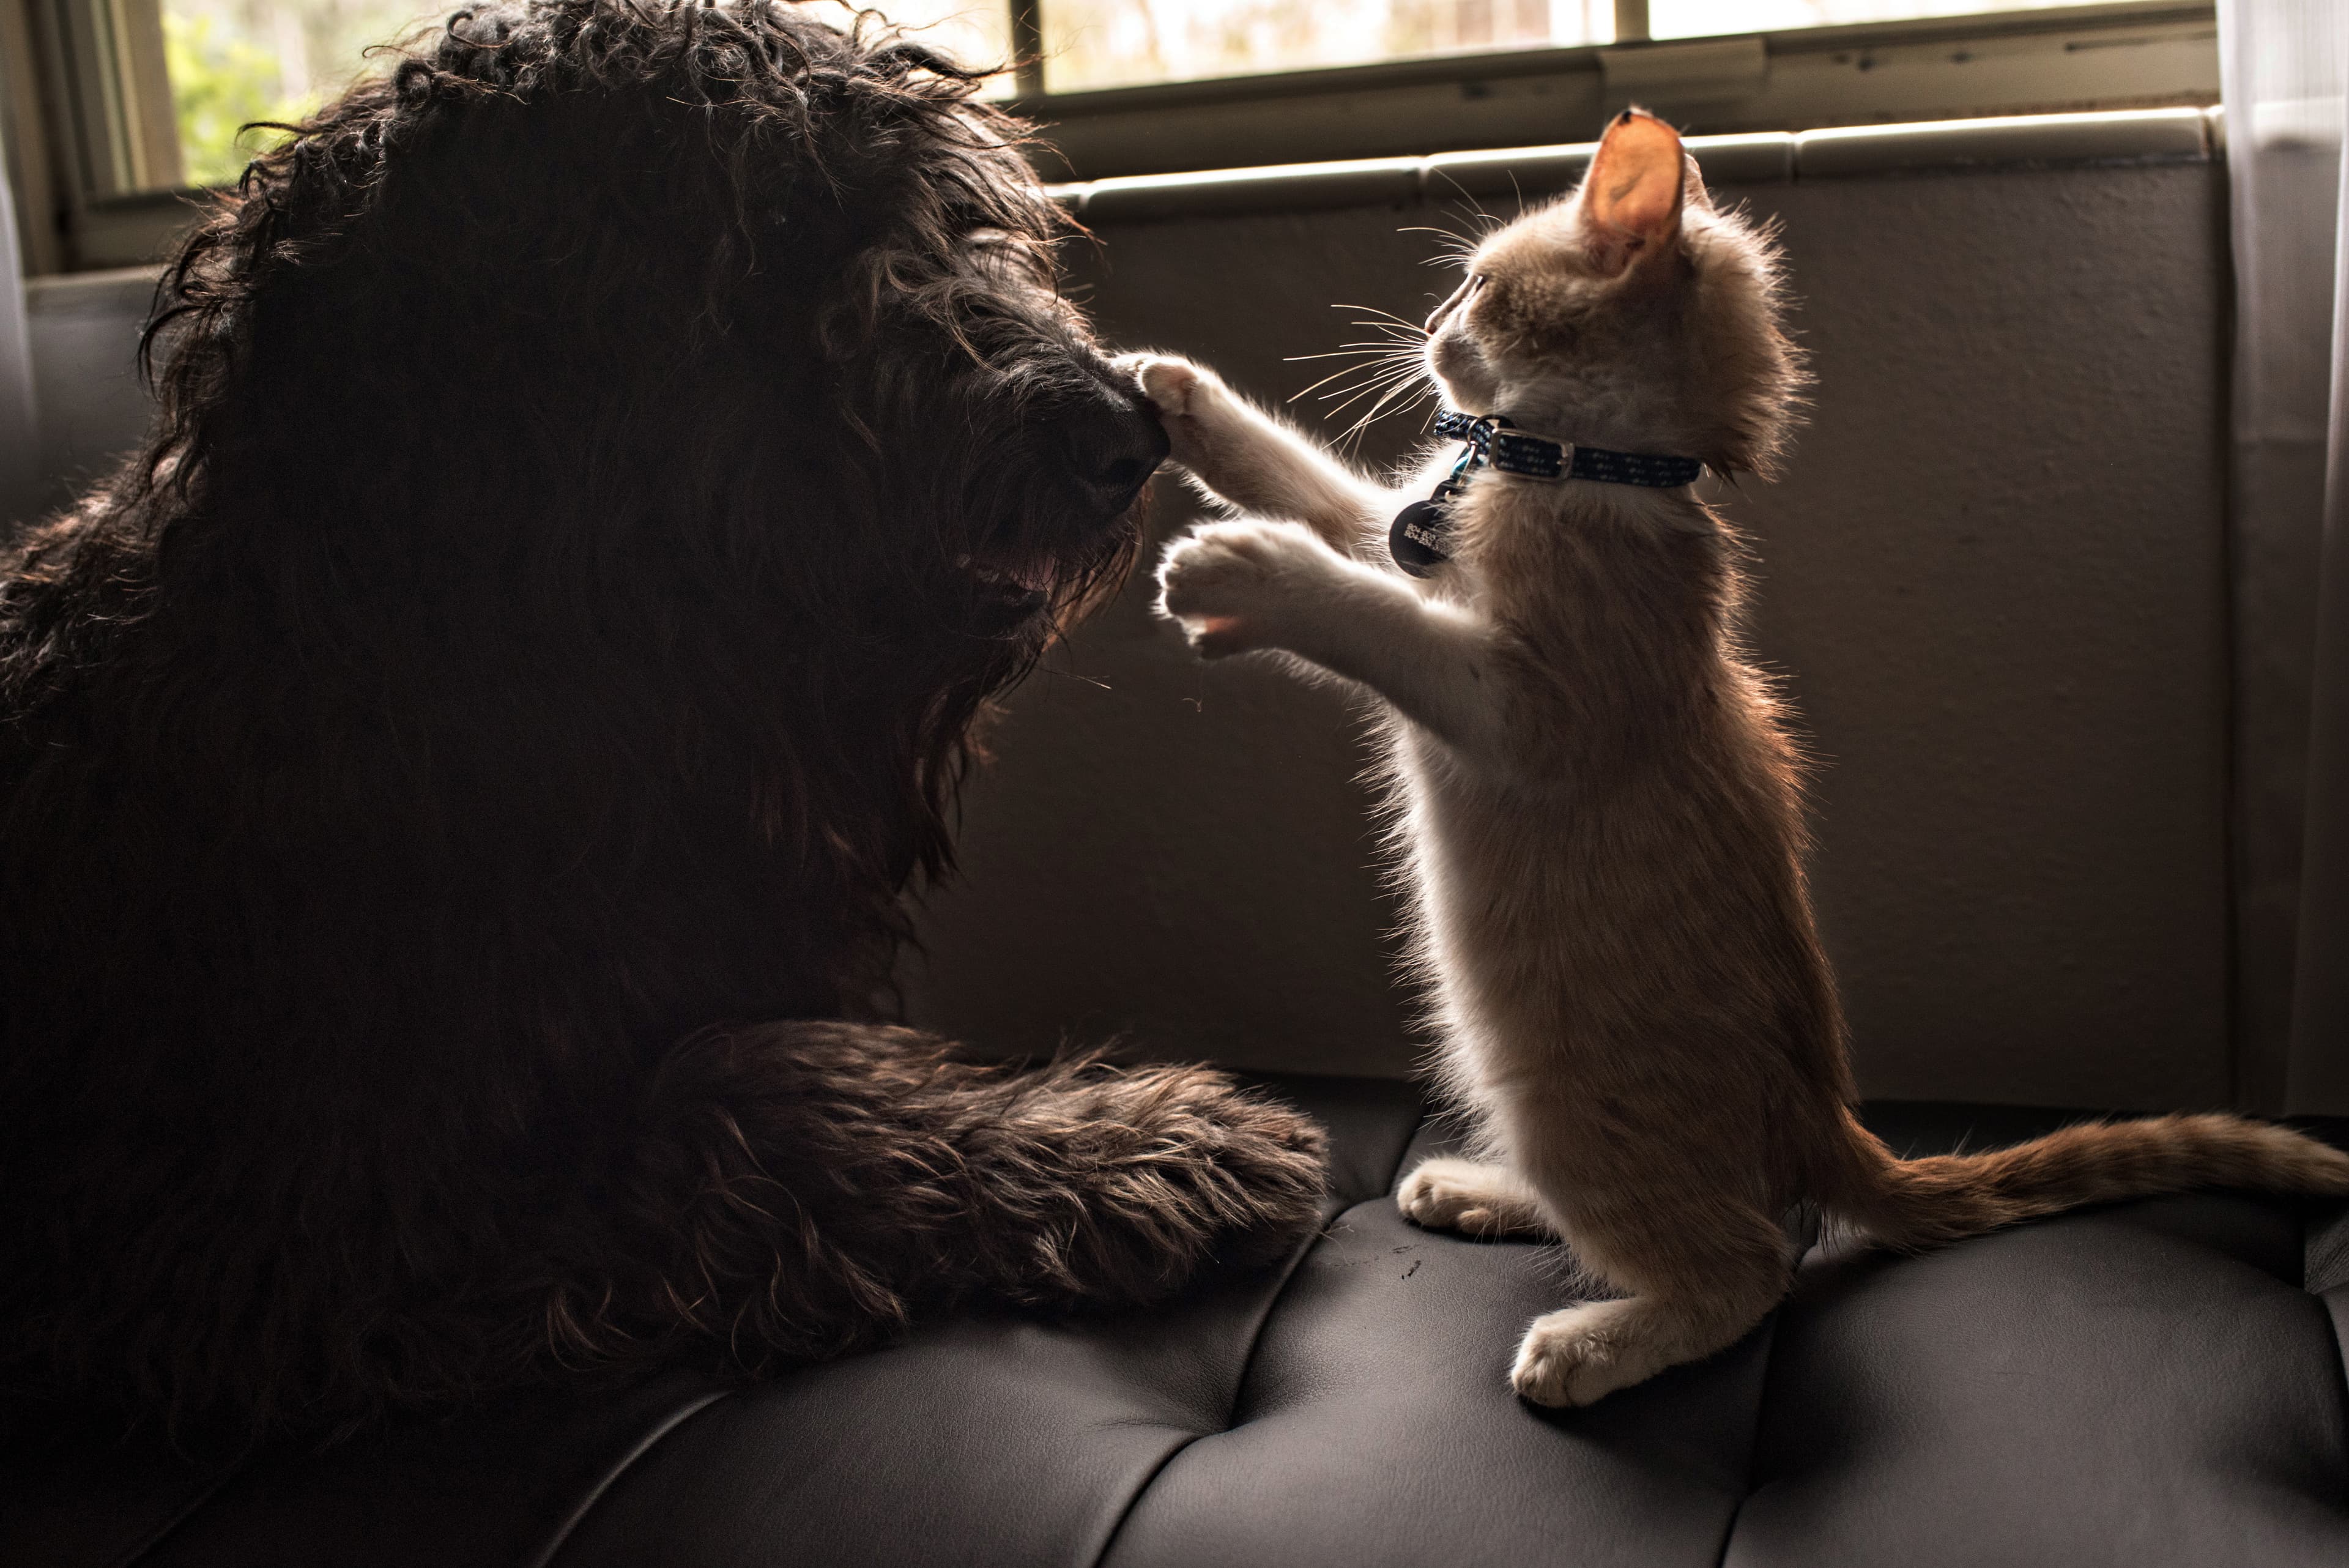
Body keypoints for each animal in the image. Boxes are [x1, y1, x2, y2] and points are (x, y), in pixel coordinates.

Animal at [0, 0, 1324, 1438]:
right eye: (780, 230)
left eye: (949, 215)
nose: (1123, 432)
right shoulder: (279, 1242)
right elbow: (749, 1093)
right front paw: (1136, 1145)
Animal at [1132, 110, 2349, 1410]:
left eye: (1478, 284)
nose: (1427, 329)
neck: (1572, 467)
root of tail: (1830, 1123)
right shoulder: (1406, 536)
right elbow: (1330, 496)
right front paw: (1193, 405)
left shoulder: (1533, 706)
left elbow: (1378, 609)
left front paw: (1254, 572)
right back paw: (1481, 1186)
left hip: (1566, 1099)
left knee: (1749, 1266)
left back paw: (1598, 1337)